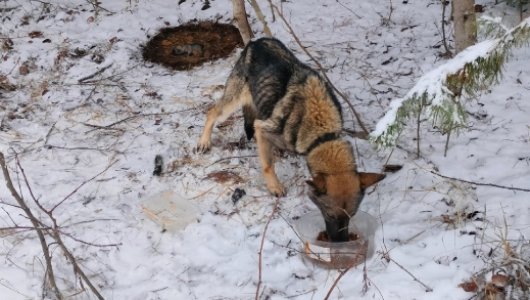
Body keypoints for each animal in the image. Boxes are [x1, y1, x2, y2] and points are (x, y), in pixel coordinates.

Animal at [196, 37, 382, 243]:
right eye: (330, 215)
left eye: (352, 215)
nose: (340, 243)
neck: (322, 131)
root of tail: (256, 41)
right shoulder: (262, 129)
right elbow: (268, 165)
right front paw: (275, 186)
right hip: (232, 103)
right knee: (212, 112)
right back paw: (204, 142)